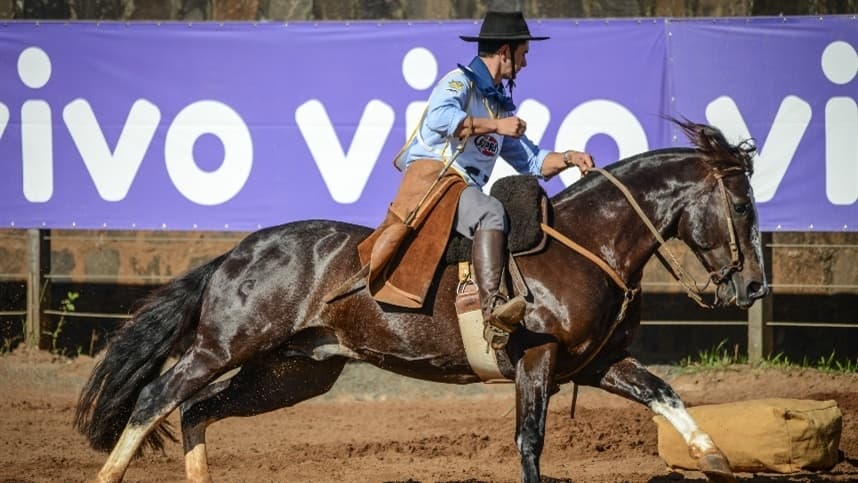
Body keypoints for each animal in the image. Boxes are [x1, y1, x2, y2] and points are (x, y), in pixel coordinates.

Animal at [75, 119, 768, 483]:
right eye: (741, 205)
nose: (755, 285)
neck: (584, 245)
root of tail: (236, 253)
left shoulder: (595, 363)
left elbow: (665, 394)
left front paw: (714, 456)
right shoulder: (537, 358)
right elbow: (530, 440)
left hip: (293, 371)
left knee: (197, 410)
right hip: (226, 346)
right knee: (157, 397)